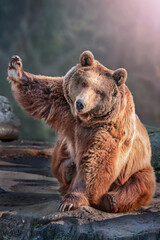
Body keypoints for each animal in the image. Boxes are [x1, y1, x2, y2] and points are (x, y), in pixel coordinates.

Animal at [7, 51, 156, 213]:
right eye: (84, 83)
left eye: (99, 91)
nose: (80, 104)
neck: (87, 120)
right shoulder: (65, 103)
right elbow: (45, 92)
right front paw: (16, 67)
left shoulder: (111, 129)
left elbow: (97, 161)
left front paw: (71, 201)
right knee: (61, 160)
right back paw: (69, 169)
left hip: (137, 168)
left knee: (138, 184)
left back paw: (111, 200)